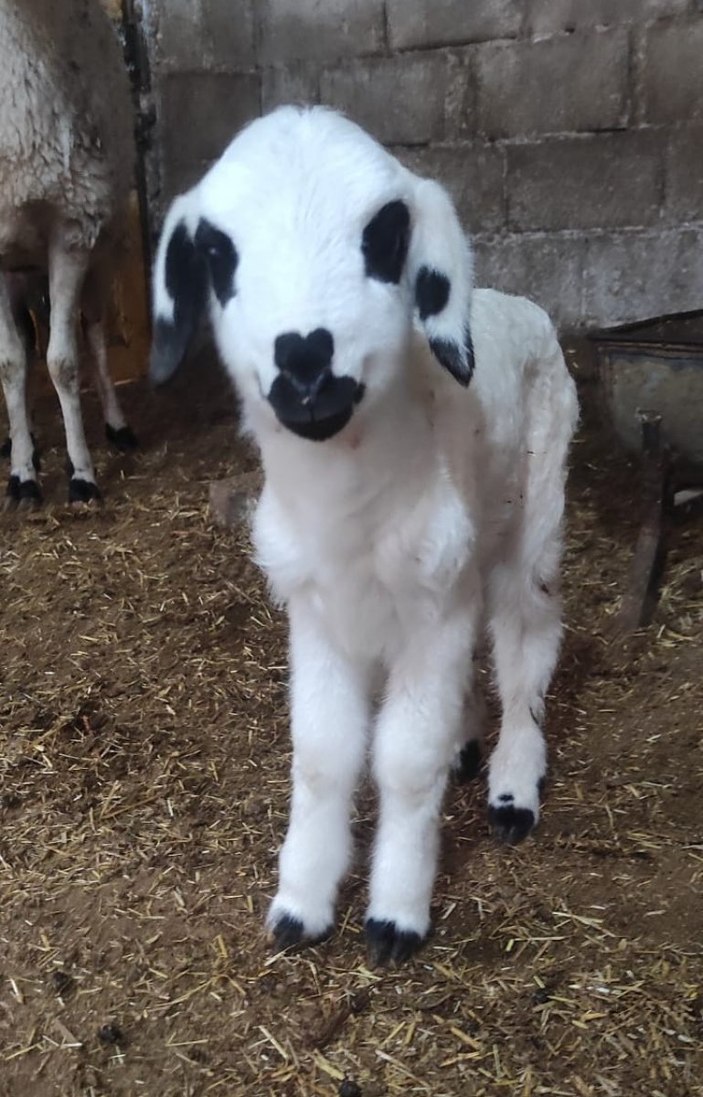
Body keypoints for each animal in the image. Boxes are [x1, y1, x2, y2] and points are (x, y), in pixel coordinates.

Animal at [0, 0, 136, 504]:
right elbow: (11, 362)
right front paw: (23, 474)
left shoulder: (73, 229)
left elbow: (63, 362)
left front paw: (81, 475)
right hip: (18, 269)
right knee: (24, 342)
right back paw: (23, 442)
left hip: (104, 245)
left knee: (94, 333)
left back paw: (117, 425)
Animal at [151, 103, 579, 960]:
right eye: (215, 251)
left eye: (383, 234)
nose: (305, 363)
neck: (347, 505)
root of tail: (519, 302)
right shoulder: (317, 612)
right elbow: (323, 754)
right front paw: (301, 903)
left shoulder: (430, 609)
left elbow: (403, 762)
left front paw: (394, 914)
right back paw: (469, 743)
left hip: (534, 510)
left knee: (526, 642)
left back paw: (513, 782)